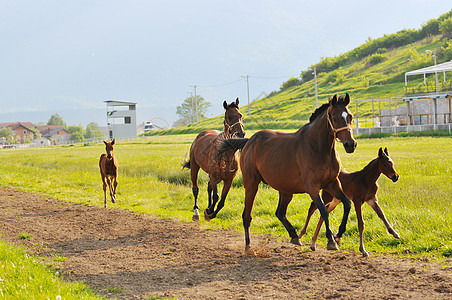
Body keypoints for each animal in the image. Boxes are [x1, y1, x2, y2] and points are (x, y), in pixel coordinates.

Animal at [219, 93, 356, 253]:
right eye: (334, 118)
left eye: (350, 116)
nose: (350, 144)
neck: (319, 148)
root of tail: (249, 141)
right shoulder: (312, 187)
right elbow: (324, 210)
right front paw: (331, 240)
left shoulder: (332, 183)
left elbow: (347, 204)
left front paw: (338, 234)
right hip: (251, 184)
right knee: (247, 216)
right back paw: (248, 246)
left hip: (285, 189)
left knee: (279, 212)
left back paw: (295, 236)